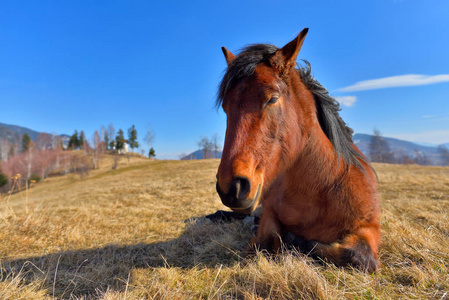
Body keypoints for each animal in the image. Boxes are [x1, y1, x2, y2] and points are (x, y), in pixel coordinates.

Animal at [215, 28, 380, 272]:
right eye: (226, 108)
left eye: (272, 99)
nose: (231, 187)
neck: (320, 191)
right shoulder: (269, 212)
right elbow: (266, 241)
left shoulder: (370, 227)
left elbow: (358, 256)